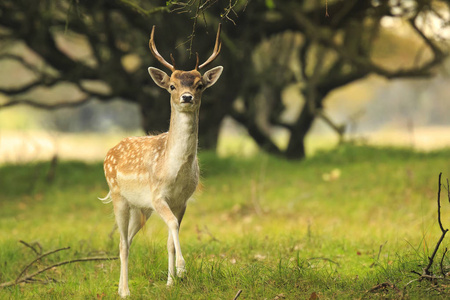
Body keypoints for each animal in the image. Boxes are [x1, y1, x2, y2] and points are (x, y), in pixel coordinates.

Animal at [100, 24, 223, 296]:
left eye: (200, 85)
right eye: (172, 86)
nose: (187, 97)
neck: (173, 171)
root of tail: (109, 152)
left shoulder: (182, 201)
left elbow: (170, 238)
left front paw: (171, 281)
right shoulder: (158, 196)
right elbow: (173, 227)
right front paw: (182, 270)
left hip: (141, 208)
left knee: (129, 240)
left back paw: (121, 288)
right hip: (119, 197)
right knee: (122, 243)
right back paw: (125, 291)